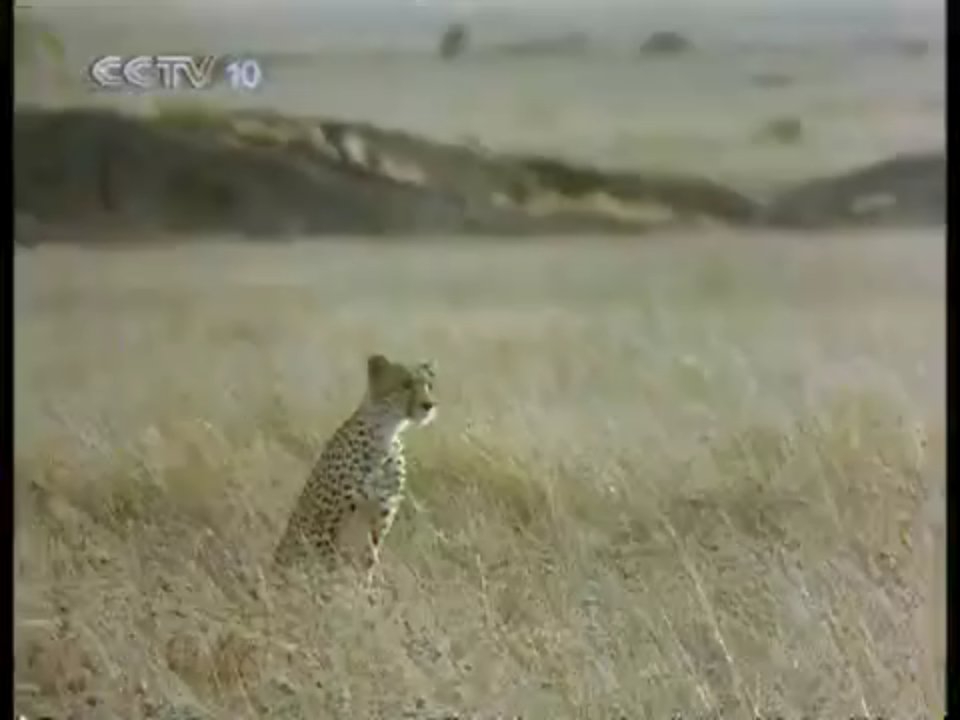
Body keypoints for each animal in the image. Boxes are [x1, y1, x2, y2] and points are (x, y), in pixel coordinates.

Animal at [270, 354, 436, 580]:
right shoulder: (325, 525)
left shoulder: (379, 520)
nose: (429, 405)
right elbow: (329, 565)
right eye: (406, 383)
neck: (386, 434)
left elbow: (367, 565)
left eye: (429, 385)